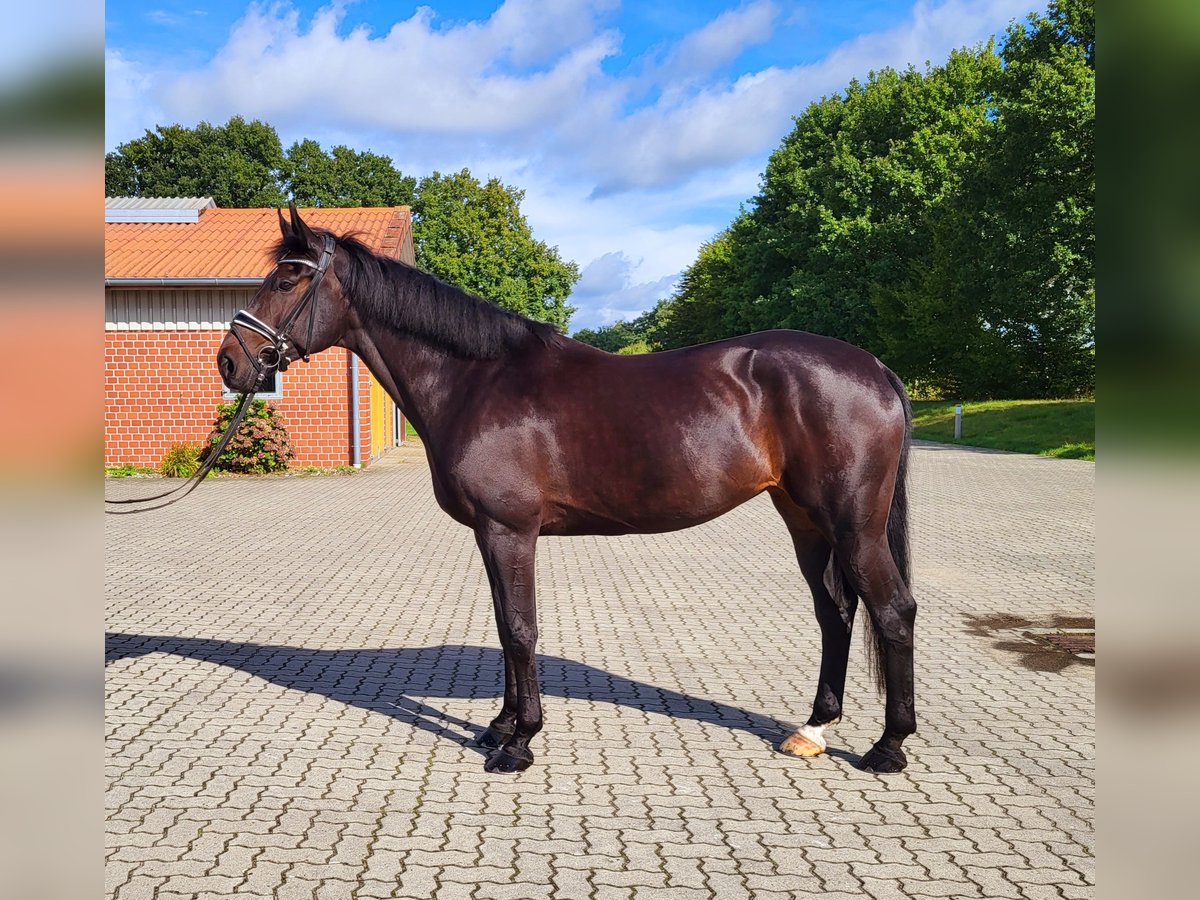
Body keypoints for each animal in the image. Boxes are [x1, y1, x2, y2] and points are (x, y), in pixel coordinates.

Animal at [218, 204, 916, 777]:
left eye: (287, 280)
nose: (230, 362)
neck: (478, 380)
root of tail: (876, 368)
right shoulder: (492, 534)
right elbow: (505, 628)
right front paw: (500, 726)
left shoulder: (510, 531)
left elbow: (521, 629)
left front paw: (520, 743)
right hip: (805, 519)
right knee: (835, 612)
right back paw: (814, 729)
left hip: (854, 524)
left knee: (892, 609)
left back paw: (888, 746)